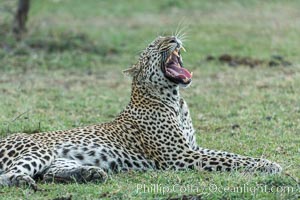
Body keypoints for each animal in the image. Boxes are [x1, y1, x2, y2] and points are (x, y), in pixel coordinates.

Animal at [0, 34, 282, 191]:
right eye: (153, 46)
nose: (172, 39)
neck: (175, 100)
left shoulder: (192, 148)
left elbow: (231, 154)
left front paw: (267, 162)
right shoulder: (179, 157)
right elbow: (230, 160)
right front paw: (269, 165)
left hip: (61, 159)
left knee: (49, 173)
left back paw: (90, 173)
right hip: (38, 150)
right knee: (9, 174)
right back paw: (23, 182)